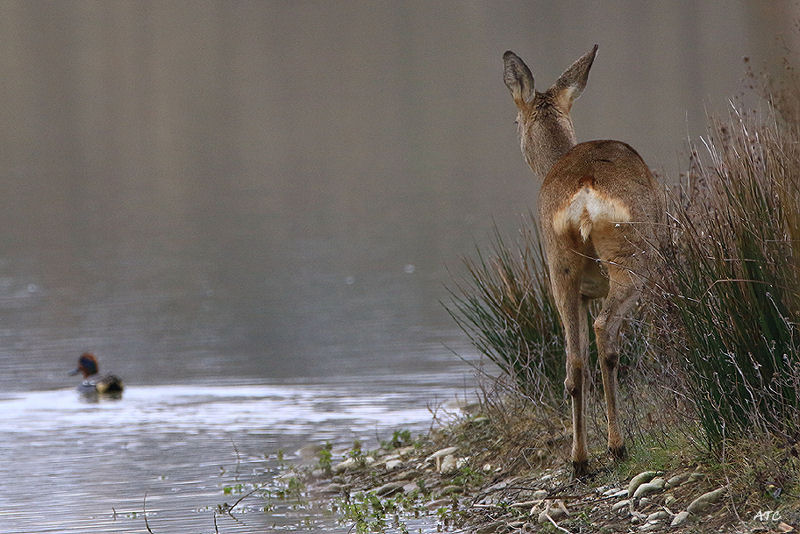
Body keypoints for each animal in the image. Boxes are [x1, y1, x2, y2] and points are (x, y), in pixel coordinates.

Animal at [504, 43, 660, 478]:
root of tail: (585, 193)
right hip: (633, 257)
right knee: (605, 332)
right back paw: (617, 446)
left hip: (559, 266)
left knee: (574, 363)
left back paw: (580, 459)